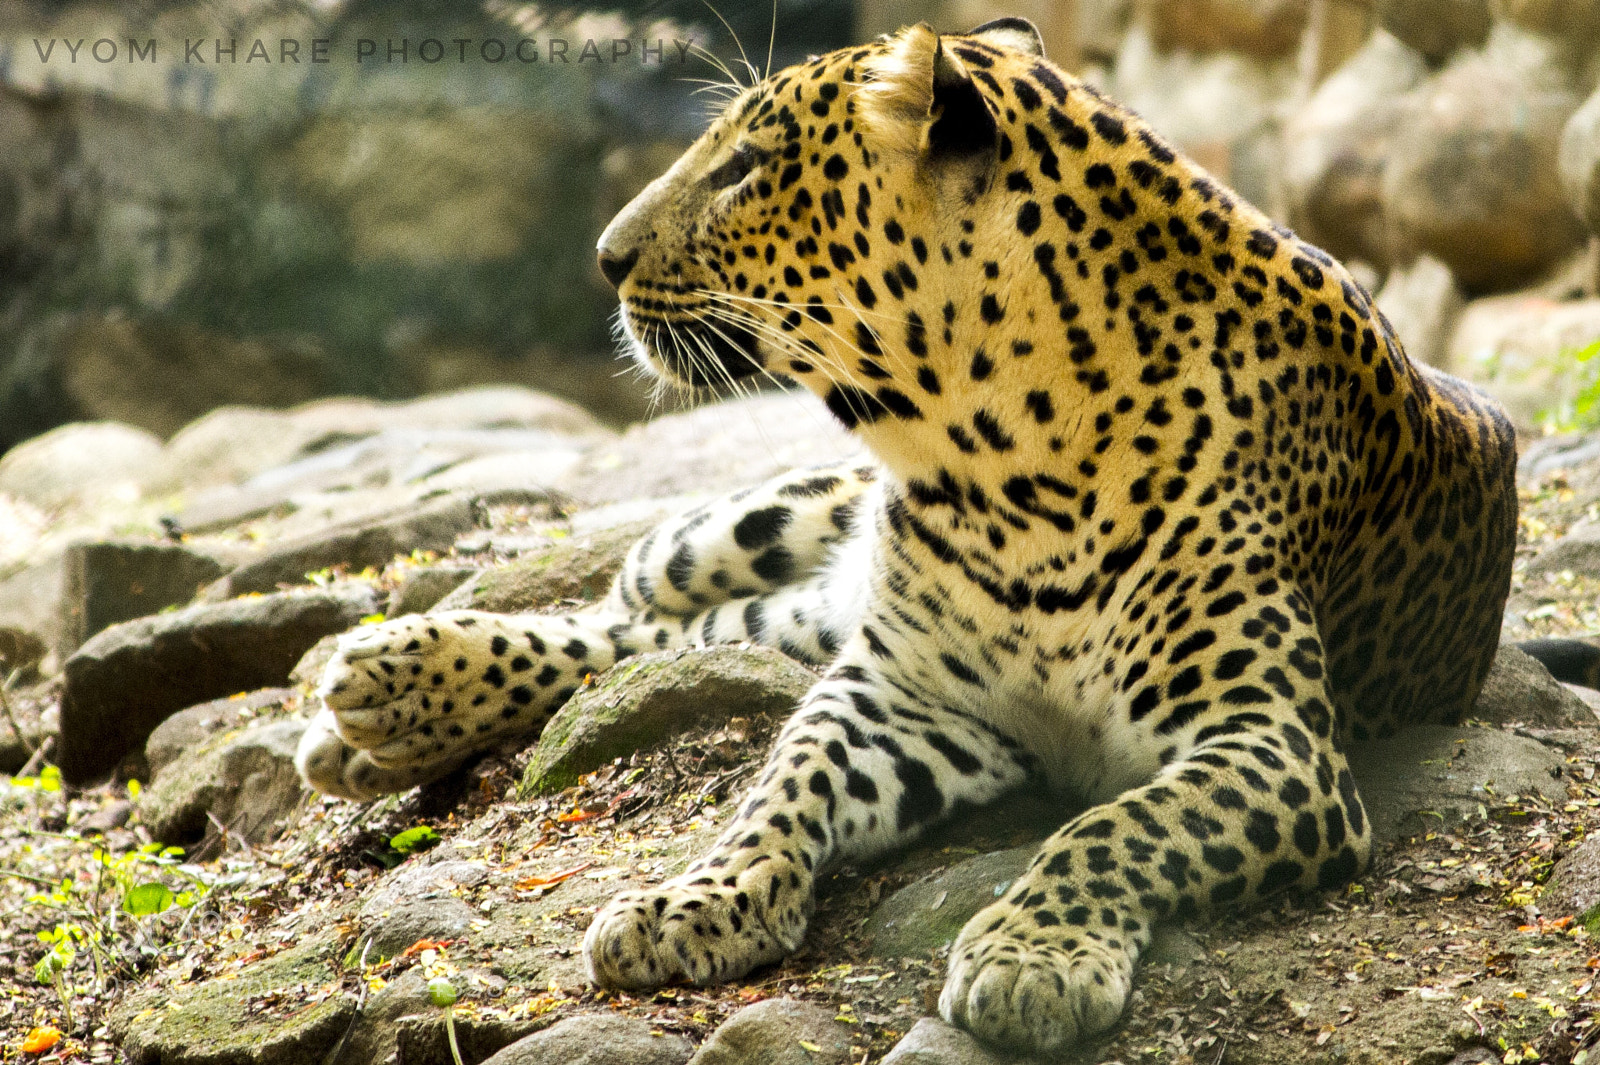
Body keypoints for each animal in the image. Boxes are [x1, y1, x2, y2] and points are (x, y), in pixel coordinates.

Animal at [292, 17, 1594, 1056]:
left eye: (747, 165)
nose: (605, 259)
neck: (995, 462)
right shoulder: (902, 692)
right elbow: (781, 783)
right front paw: (694, 902)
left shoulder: (1272, 746)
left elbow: (1118, 823)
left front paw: (1034, 958)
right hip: (750, 526)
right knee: (624, 619)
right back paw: (386, 682)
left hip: (802, 602)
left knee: (679, 639)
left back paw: (363, 730)